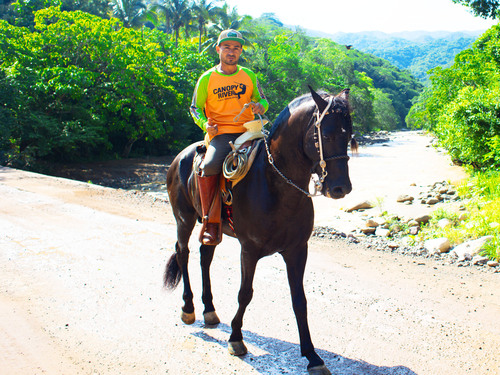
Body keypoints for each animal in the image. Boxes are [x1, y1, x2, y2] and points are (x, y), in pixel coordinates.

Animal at [164, 86, 356, 374]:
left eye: (349, 135)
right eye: (327, 134)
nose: (340, 187)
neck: (276, 184)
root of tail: (180, 157)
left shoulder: (297, 251)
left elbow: (299, 300)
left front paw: (312, 356)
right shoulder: (249, 250)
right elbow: (245, 293)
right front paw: (236, 339)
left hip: (211, 229)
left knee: (204, 257)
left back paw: (209, 309)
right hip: (184, 219)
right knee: (183, 253)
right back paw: (188, 308)